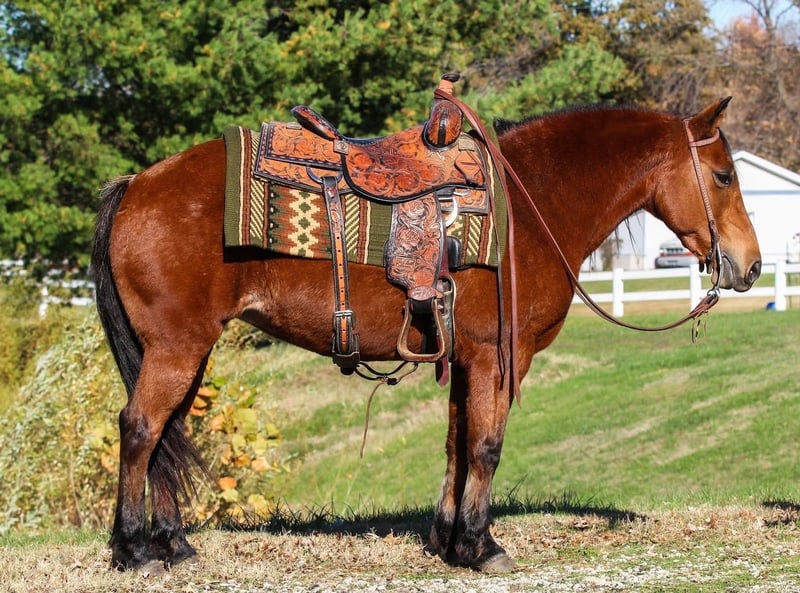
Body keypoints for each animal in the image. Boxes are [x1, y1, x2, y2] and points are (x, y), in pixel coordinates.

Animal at [91, 96, 761, 573]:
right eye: (724, 176)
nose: (751, 266)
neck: (530, 209)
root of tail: (135, 184)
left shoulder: (464, 359)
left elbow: (455, 445)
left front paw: (448, 541)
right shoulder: (497, 359)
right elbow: (486, 446)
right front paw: (483, 547)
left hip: (185, 352)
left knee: (166, 434)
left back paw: (175, 544)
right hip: (176, 350)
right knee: (140, 428)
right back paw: (136, 551)